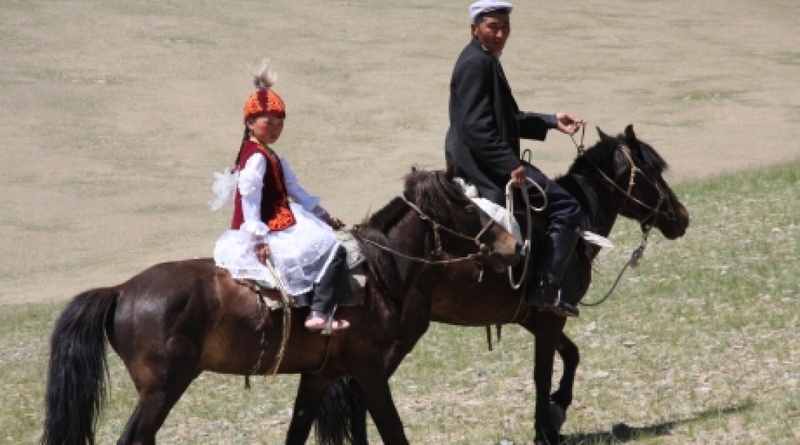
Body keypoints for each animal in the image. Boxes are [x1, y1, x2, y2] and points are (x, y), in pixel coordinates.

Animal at [43, 167, 520, 444]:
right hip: (161, 389)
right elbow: (392, 429)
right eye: (464, 206)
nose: (513, 245)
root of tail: (122, 289)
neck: (378, 276)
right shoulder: (367, 369)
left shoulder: (320, 375)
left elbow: (297, 433)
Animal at [316, 125, 692, 444]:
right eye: (654, 173)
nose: (683, 218)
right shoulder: (551, 316)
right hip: (399, 337)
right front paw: (547, 427)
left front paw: (557, 409)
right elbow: (543, 372)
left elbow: (571, 355)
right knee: (359, 394)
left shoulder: (535, 316)